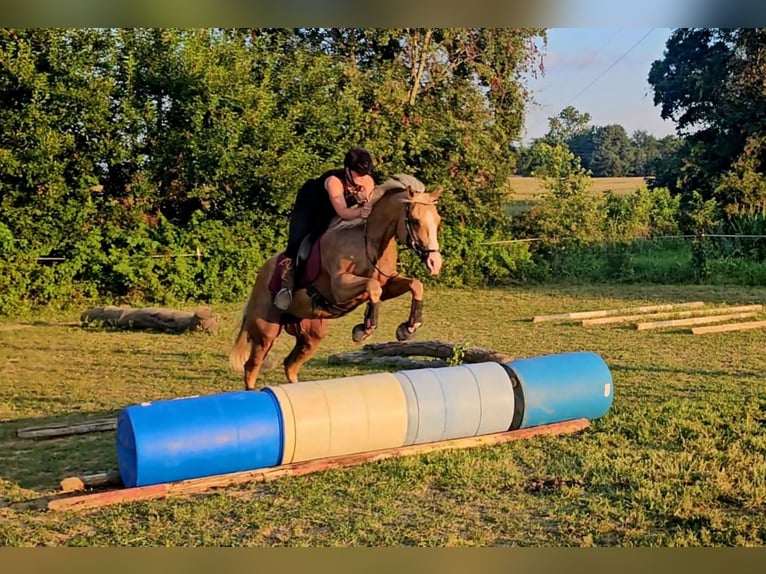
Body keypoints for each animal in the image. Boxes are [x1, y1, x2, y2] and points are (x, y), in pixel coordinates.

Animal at [230, 174, 444, 392]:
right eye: (415, 221)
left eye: (437, 220)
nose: (435, 263)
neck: (370, 242)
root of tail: (259, 278)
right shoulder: (340, 286)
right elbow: (372, 286)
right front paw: (364, 330)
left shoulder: (388, 283)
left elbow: (414, 285)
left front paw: (408, 328)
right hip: (266, 331)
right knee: (252, 366)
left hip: (311, 333)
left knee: (290, 365)